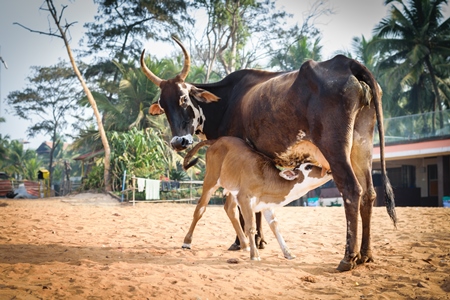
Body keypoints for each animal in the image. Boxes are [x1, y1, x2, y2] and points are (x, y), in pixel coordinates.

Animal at [181, 137, 332, 262]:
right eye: (308, 166)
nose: (329, 170)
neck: (265, 177)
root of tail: (217, 140)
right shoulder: (244, 198)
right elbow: (251, 227)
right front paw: (255, 255)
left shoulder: (266, 205)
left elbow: (275, 227)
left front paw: (288, 253)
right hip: (211, 180)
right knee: (200, 209)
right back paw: (187, 242)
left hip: (232, 190)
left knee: (230, 209)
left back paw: (244, 244)